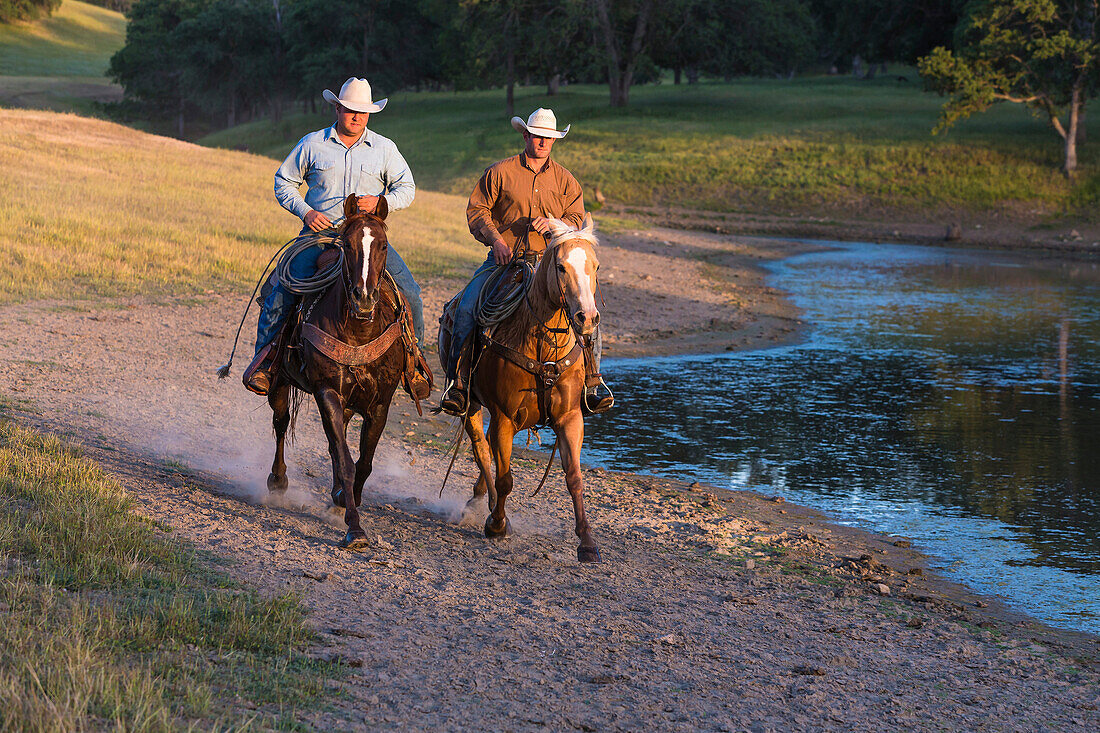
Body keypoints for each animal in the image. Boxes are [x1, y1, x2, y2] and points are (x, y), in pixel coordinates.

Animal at [266, 191, 424, 545]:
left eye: (383, 245)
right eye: (348, 245)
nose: (363, 298)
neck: (359, 329)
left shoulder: (380, 404)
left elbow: (363, 463)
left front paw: (345, 498)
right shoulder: (327, 393)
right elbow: (346, 459)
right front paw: (355, 527)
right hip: (280, 383)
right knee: (281, 424)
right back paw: (277, 481)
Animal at [440, 211, 607, 559]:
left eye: (595, 266)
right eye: (561, 267)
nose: (587, 318)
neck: (541, 344)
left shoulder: (570, 418)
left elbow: (575, 478)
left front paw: (587, 542)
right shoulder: (503, 417)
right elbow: (505, 478)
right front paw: (497, 525)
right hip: (471, 405)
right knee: (482, 450)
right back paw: (486, 504)